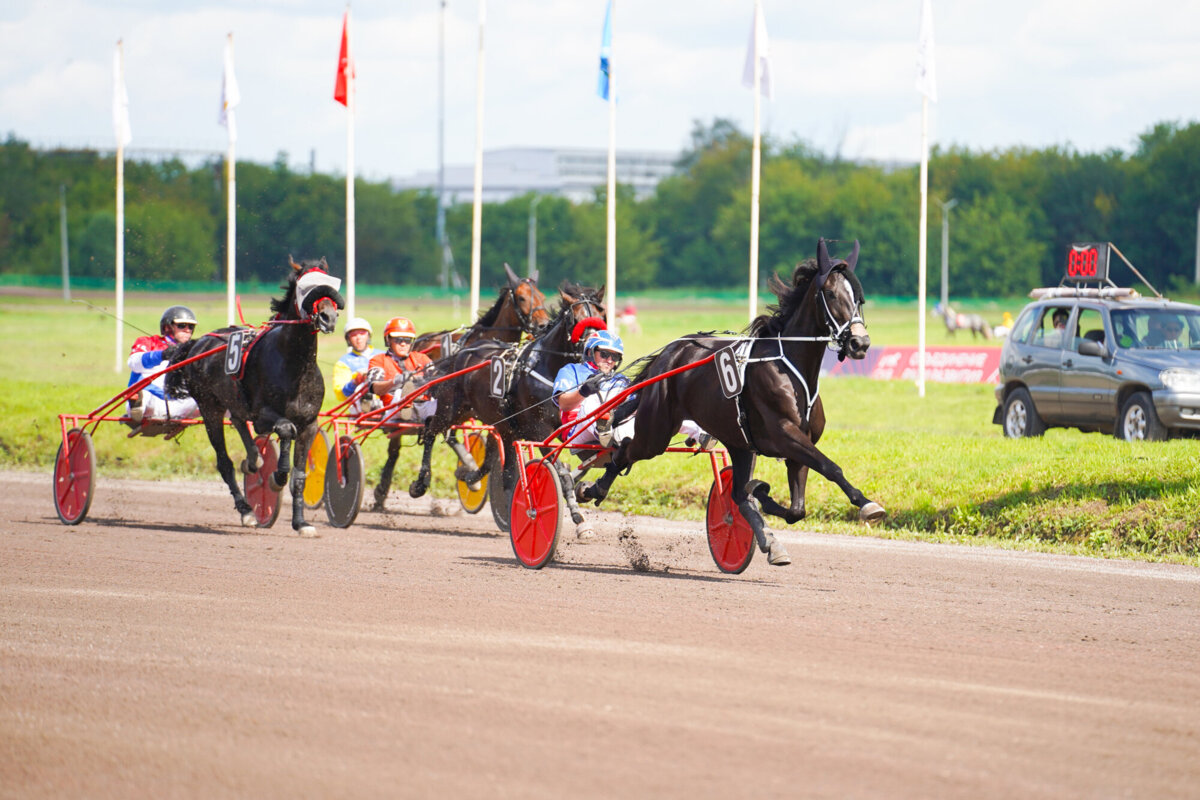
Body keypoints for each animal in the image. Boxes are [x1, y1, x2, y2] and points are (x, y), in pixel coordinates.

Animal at [165, 256, 343, 534]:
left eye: (331, 283)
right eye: (305, 286)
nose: (328, 316)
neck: (295, 365)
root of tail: (198, 343)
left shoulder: (309, 423)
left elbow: (299, 474)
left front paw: (301, 523)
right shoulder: (263, 415)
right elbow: (285, 431)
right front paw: (276, 477)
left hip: (233, 402)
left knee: (239, 422)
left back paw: (253, 461)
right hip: (209, 408)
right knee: (224, 462)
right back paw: (247, 510)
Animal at [576, 241, 888, 566]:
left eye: (859, 298)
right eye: (830, 293)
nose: (861, 343)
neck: (789, 367)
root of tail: (670, 353)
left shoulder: (798, 444)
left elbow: (796, 509)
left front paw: (762, 494)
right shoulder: (785, 434)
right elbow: (830, 467)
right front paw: (868, 504)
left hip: (739, 443)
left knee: (736, 493)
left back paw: (768, 540)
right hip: (656, 431)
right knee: (625, 449)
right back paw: (594, 487)